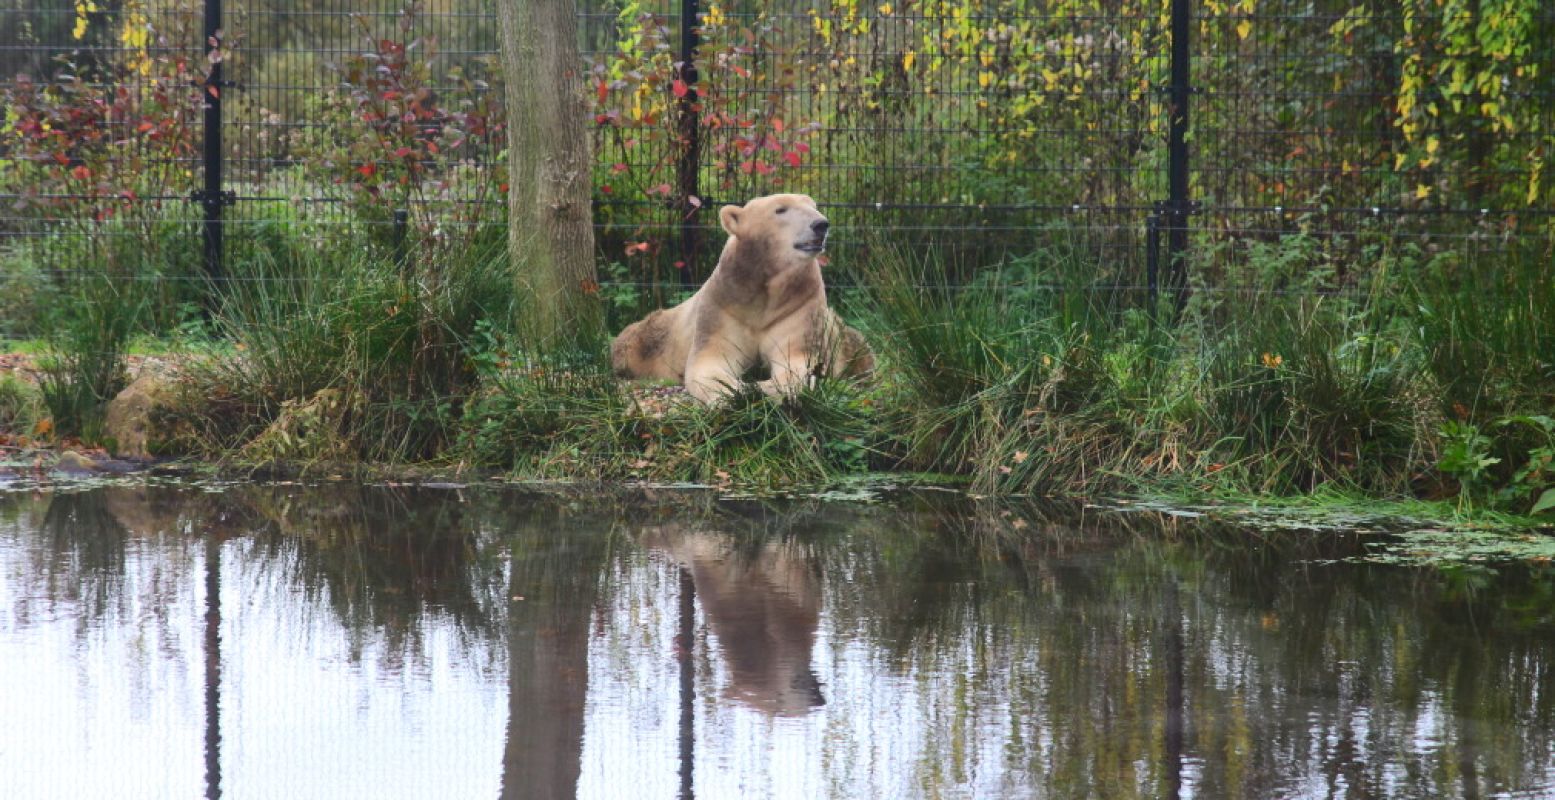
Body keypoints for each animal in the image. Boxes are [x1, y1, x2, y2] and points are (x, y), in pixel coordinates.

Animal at [609, 193, 877, 404]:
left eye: (813, 205)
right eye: (781, 209)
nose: (821, 224)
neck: (762, 293)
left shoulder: (798, 305)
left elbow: (796, 359)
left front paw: (764, 386)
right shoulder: (723, 306)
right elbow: (710, 361)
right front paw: (736, 391)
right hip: (642, 339)